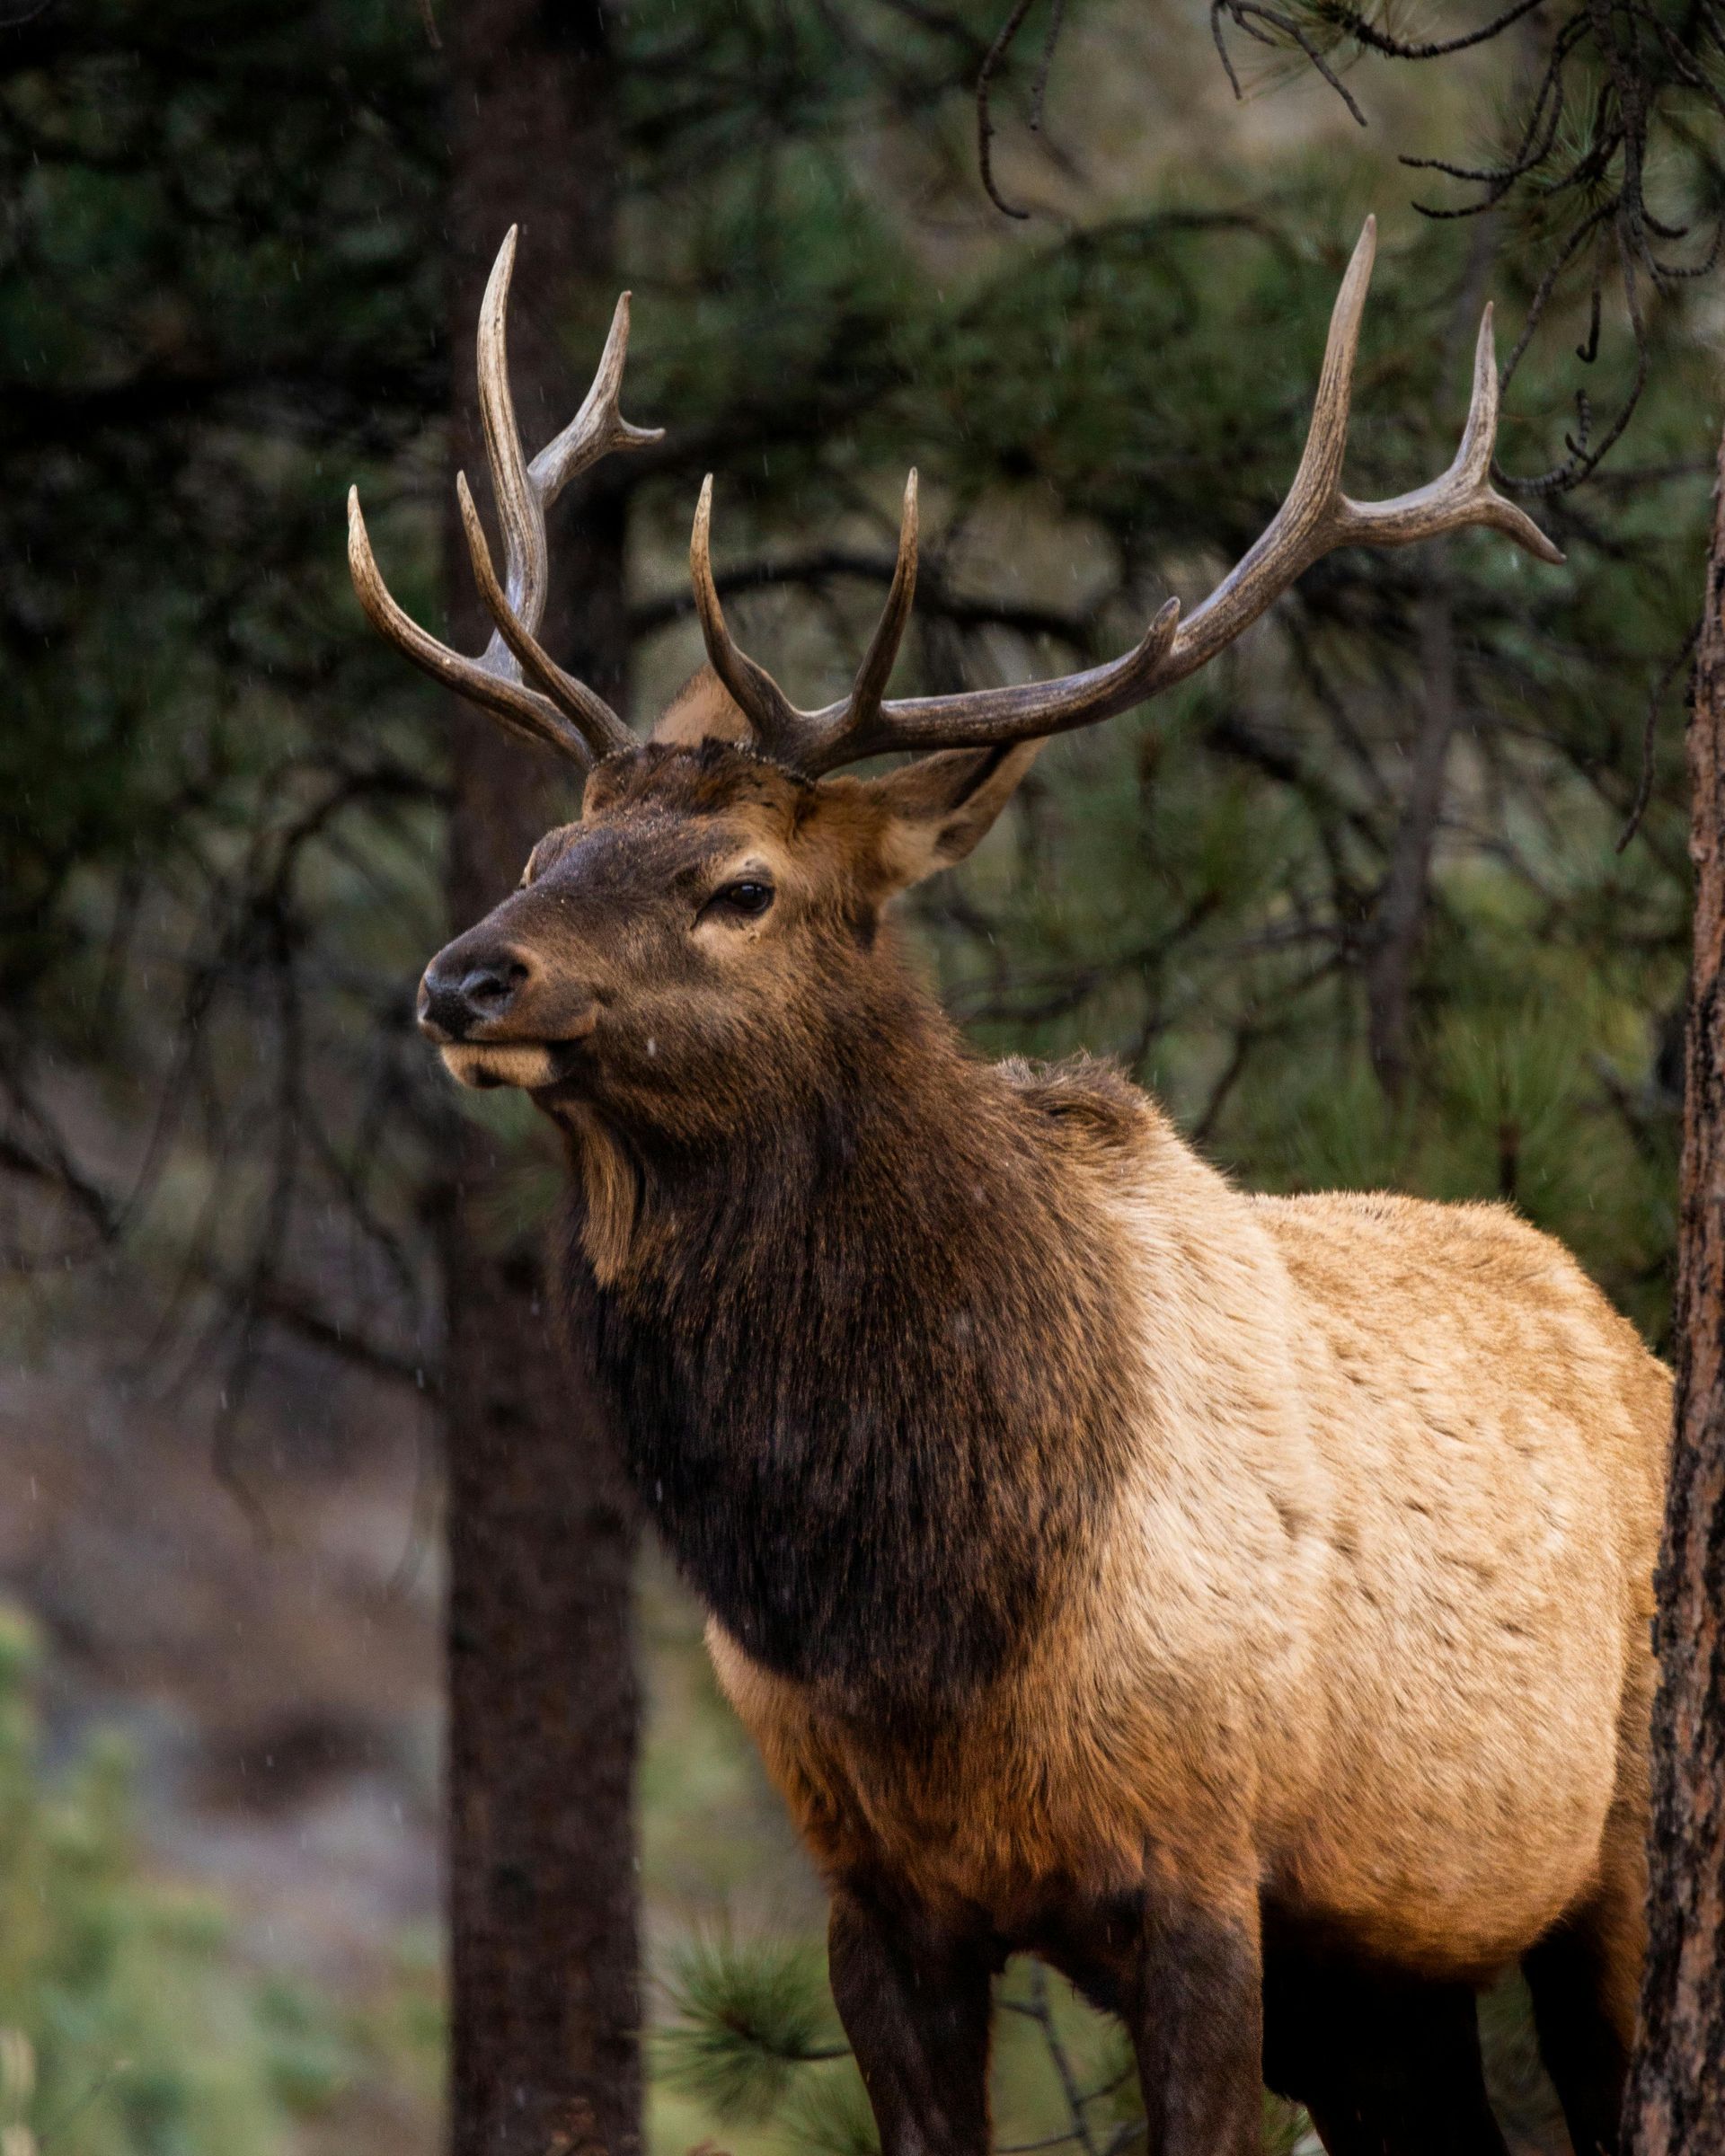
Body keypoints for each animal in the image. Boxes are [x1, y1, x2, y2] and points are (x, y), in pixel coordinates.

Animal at [349, 221, 1670, 2156]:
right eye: (547, 846)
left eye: (736, 885)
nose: (464, 981)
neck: (925, 1610)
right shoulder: (878, 1895)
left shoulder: (1206, 1868)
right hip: (1386, 1982)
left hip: (1614, 1857)